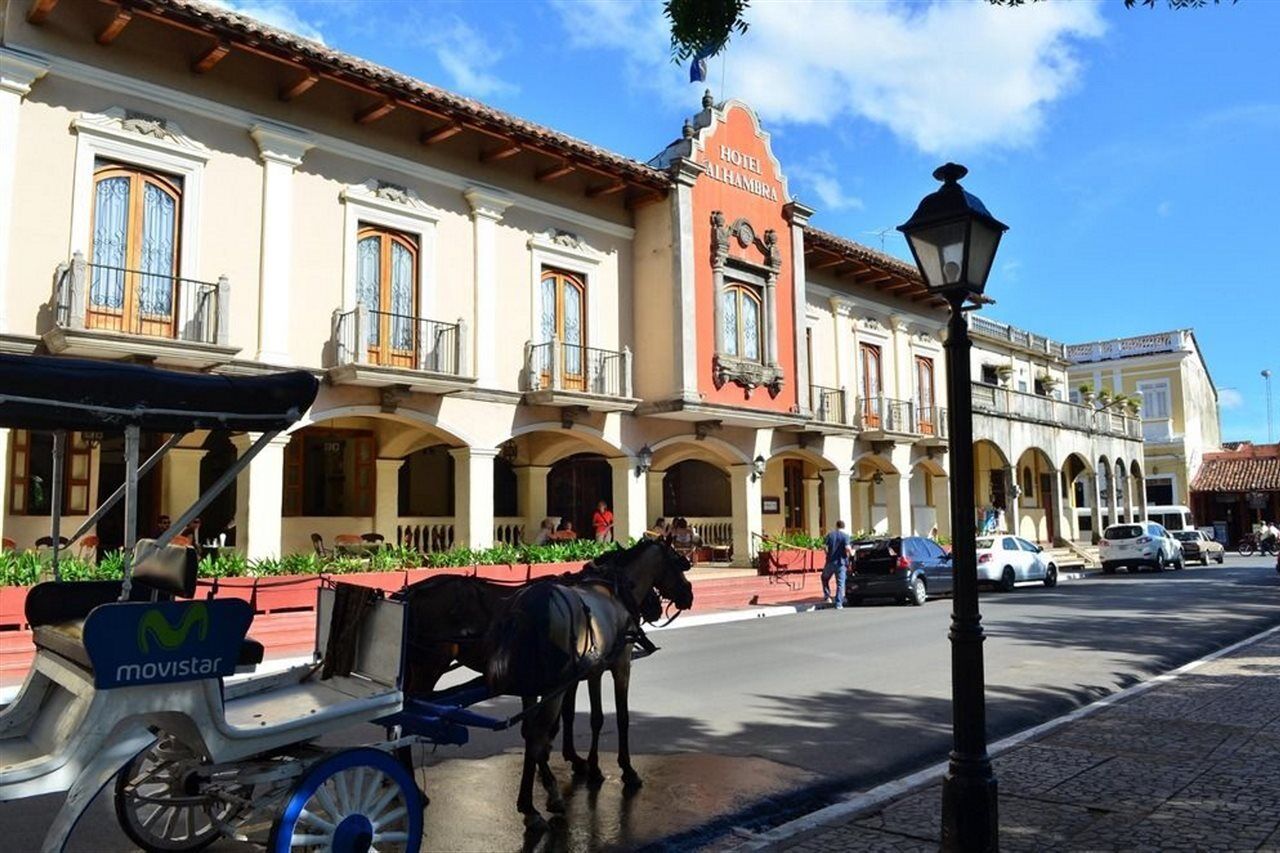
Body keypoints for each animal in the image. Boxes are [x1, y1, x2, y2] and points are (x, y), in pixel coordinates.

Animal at [483, 537, 696, 824]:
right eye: (676, 561)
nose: (689, 594)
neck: (616, 590)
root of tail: (525, 610)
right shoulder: (618, 665)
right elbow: (615, 717)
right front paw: (624, 769)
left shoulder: (586, 673)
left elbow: (582, 717)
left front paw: (586, 764)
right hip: (552, 686)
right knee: (537, 734)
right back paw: (542, 800)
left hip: (532, 684)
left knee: (530, 733)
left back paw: (532, 798)